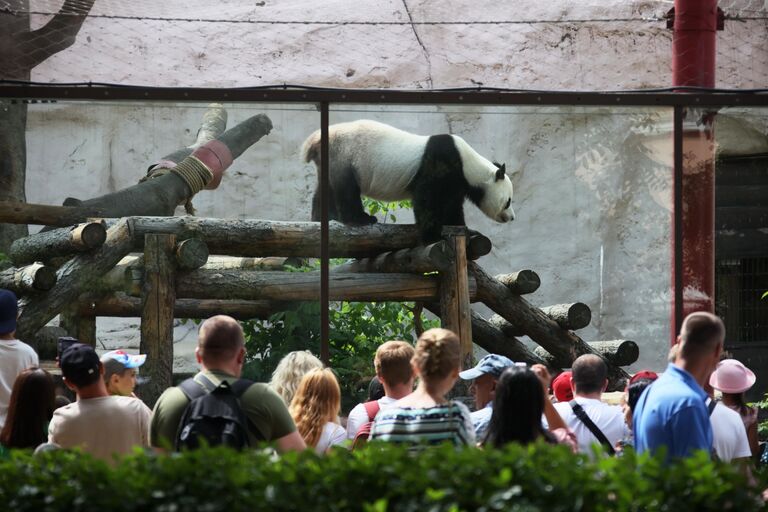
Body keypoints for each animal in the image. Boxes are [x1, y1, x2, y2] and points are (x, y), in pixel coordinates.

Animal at [302, 119, 516, 243]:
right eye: (508, 201)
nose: (512, 218)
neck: (468, 164)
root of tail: (314, 140)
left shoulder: (456, 183)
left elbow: (452, 208)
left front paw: (467, 231)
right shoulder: (440, 163)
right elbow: (426, 200)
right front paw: (433, 236)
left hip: (331, 160)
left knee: (325, 188)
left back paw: (322, 218)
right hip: (345, 154)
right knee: (346, 189)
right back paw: (360, 219)